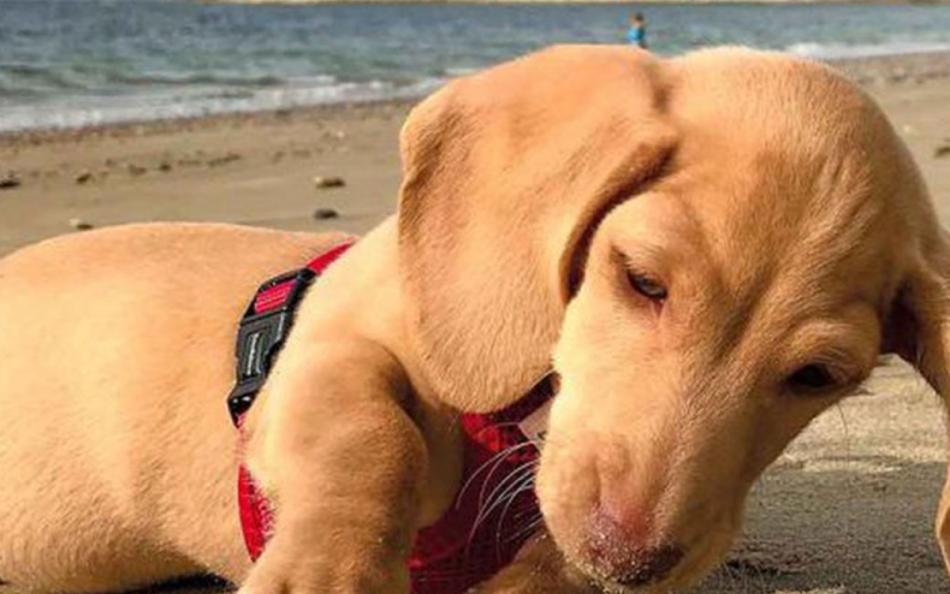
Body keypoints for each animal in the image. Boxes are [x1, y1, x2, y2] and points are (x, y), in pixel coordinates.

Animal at [0, 46, 948, 592]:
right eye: (642, 280)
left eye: (817, 377)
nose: (630, 562)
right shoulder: (326, 352)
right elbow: (373, 436)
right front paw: (325, 569)